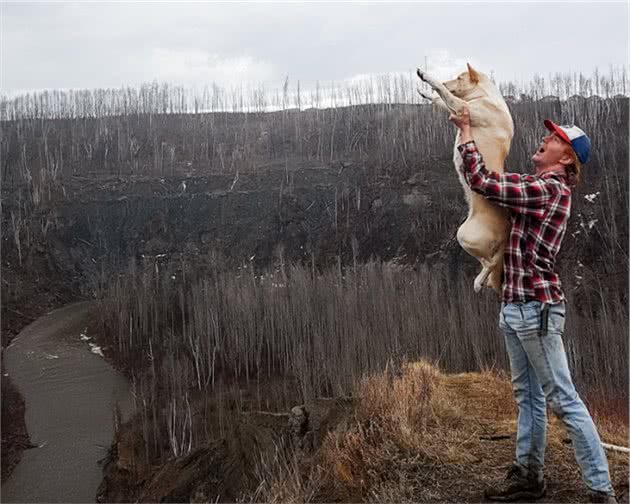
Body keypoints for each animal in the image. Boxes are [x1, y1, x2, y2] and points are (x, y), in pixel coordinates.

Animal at [418, 64, 516, 292]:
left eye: (459, 77)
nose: (447, 83)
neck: (486, 95)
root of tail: (507, 231)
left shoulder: (463, 107)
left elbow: (444, 95)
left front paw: (427, 77)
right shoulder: (457, 108)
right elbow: (440, 100)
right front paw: (426, 93)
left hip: (465, 234)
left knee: (491, 262)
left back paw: (479, 282)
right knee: (488, 262)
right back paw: (481, 281)